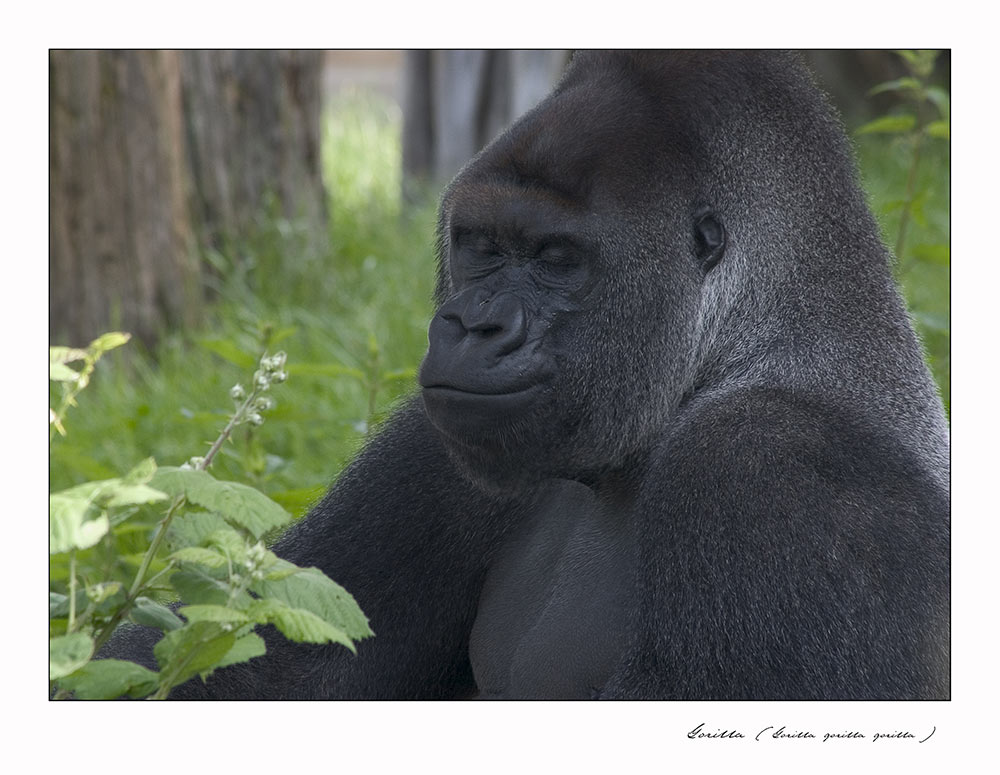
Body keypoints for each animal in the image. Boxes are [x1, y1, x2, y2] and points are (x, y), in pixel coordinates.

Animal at [105, 50, 948, 704]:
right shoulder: (441, 441)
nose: (473, 325)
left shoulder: (770, 467)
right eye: (481, 246)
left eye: (556, 258)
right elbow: (255, 653)